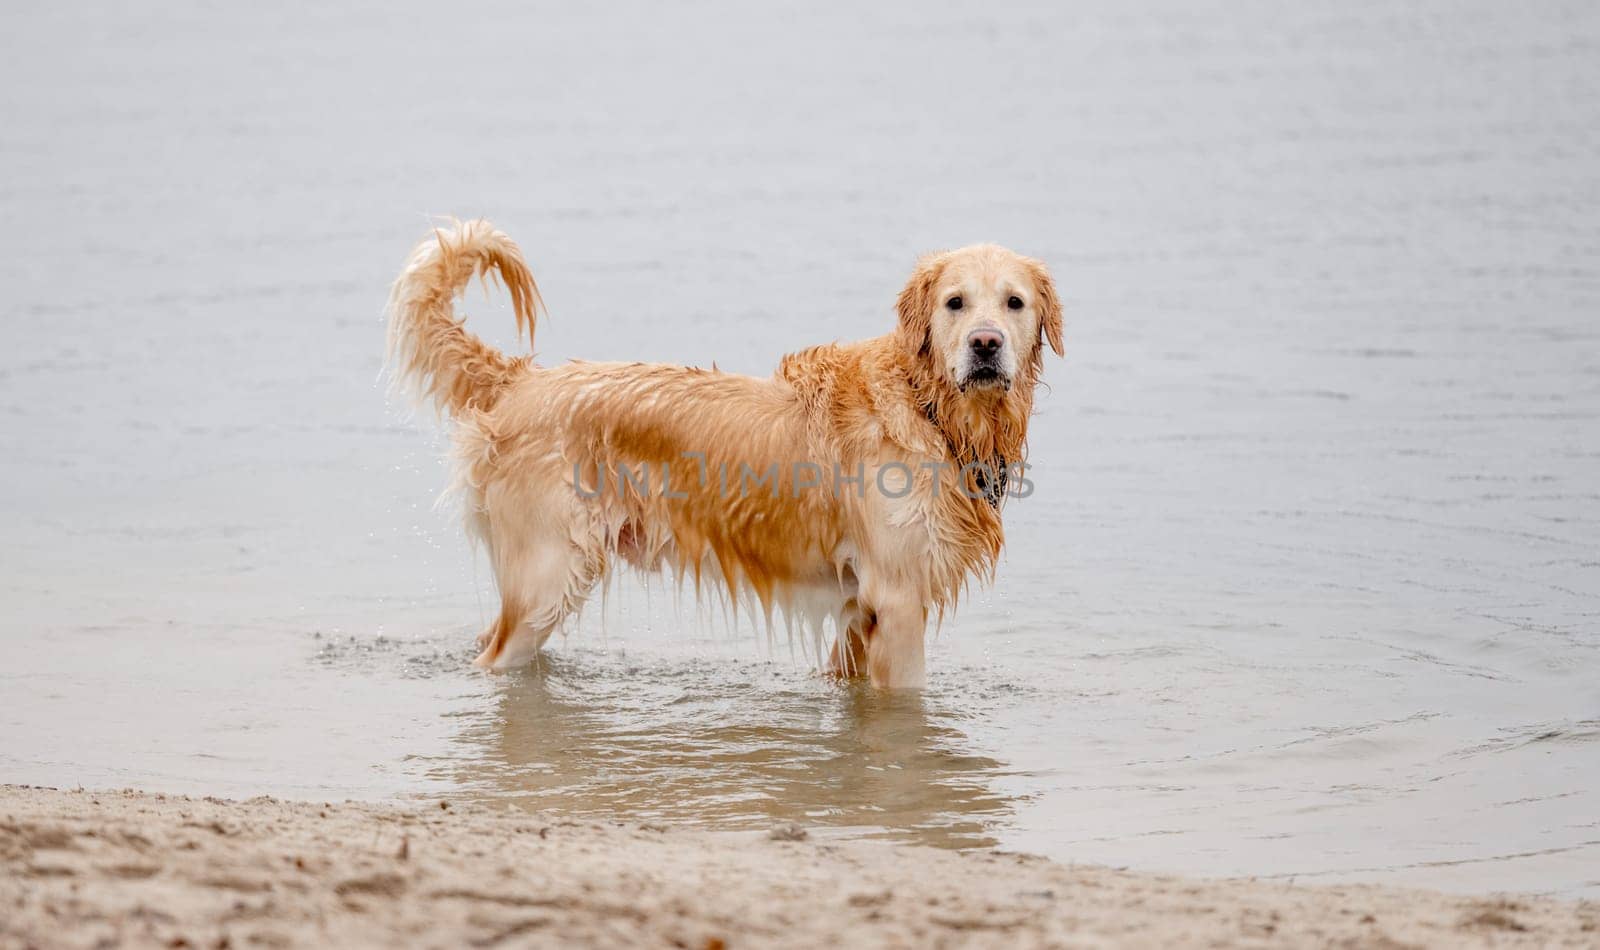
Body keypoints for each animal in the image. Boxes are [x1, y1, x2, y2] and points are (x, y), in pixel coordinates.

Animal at [387, 219, 1062, 684]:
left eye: (1014, 302)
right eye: (955, 302)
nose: (985, 345)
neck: (930, 411)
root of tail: (519, 380)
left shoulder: (859, 613)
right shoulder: (895, 602)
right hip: (546, 577)